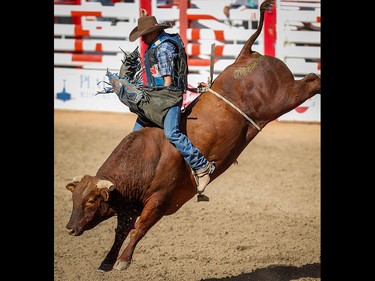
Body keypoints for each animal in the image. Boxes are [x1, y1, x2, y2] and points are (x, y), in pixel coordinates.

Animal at [66, 0, 322, 272]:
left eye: (91, 201)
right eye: (74, 198)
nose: (69, 228)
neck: (145, 160)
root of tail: (245, 56)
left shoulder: (158, 201)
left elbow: (138, 229)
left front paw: (123, 261)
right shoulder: (128, 205)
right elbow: (121, 231)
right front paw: (107, 261)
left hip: (284, 97)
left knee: (311, 81)